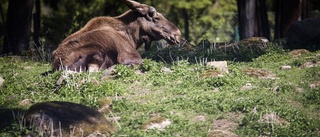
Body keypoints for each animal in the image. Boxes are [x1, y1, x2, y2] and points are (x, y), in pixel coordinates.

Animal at [53, 0, 181, 71]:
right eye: (155, 17)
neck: (132, 37)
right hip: (98, 53)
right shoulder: (130, 56)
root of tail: (57, 65)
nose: (177, 34)